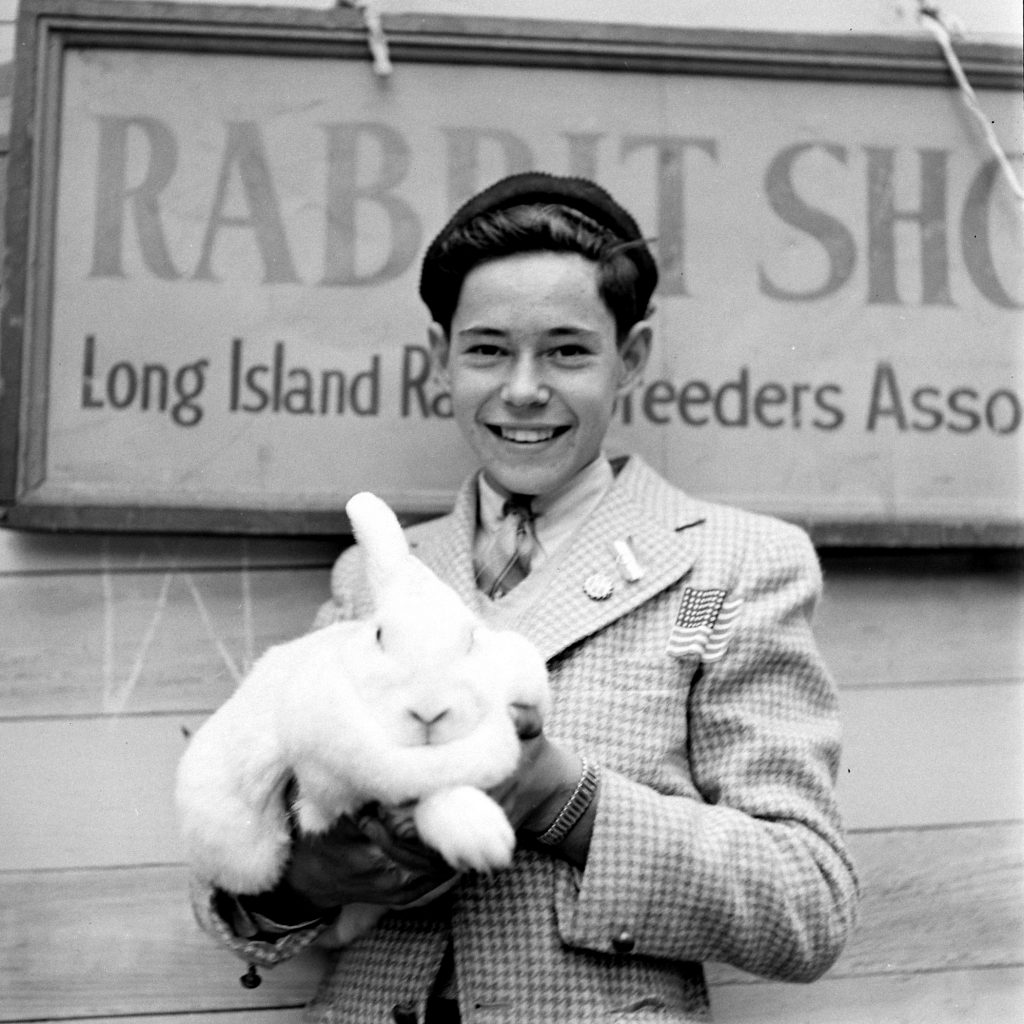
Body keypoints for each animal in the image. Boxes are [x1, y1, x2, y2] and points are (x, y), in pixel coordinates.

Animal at [176, 491, 548, 946]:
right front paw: (482, 837)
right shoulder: (332, 785)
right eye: (379, 636)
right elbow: (429, 796)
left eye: (472, 639)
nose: (428, 710)